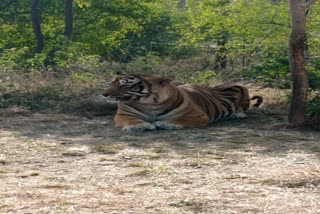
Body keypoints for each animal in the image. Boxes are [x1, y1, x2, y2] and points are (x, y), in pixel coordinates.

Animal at [102, 74, 262, 132]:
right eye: (110, 83)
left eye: (125, 85)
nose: (104, 94)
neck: (149, 103)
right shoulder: (123, 115)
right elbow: (132, 120)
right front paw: (141, 126)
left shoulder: (198, 116)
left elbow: (181, 119)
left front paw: (165, 124)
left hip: (241, 87)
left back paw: (239, 114)